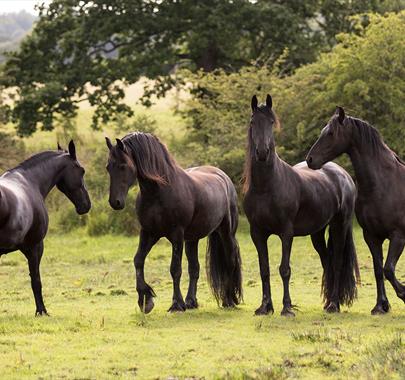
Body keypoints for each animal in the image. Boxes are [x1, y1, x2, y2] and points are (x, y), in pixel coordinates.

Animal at [0, 142, 90, 314]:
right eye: (81, 170)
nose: (86, 205)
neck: (30, 181)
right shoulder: (35, 246)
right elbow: (36, 280)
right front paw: (41, 311)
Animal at [105, 132, 241, 314]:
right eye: (108, 167)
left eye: (123, 166)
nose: (115, 202)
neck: (159, 192)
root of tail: (224, 177)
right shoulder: (148, 232)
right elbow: (138, 260)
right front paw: (145, 301)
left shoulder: (176, 235)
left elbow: (175, 269)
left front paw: (176, 304)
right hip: (192, 239)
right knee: (194, 268)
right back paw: (191, 302)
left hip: (226, 232)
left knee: (230, 260)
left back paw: (228, 300)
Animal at [241, 96, 358, 316]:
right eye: (253, 122)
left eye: (271, 122)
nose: (262, 152)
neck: (266, 187)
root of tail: (343, 175)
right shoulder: (257, 233)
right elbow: (264, 269)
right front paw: (265, 306)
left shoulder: (286, 233)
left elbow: (284, 269)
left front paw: (287, 307)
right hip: (317, 233)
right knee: (327, 262)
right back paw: (327, 302)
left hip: (340, 226)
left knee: (337, 263)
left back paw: (334, 304)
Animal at [308, 107, 402, 314]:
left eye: (330, 133)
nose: (310, 159)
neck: (384, 184)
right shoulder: (372, 236)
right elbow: (379, 270)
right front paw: (380, 306)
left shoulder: (398, 236)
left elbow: (389, 269)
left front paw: (404, 294)